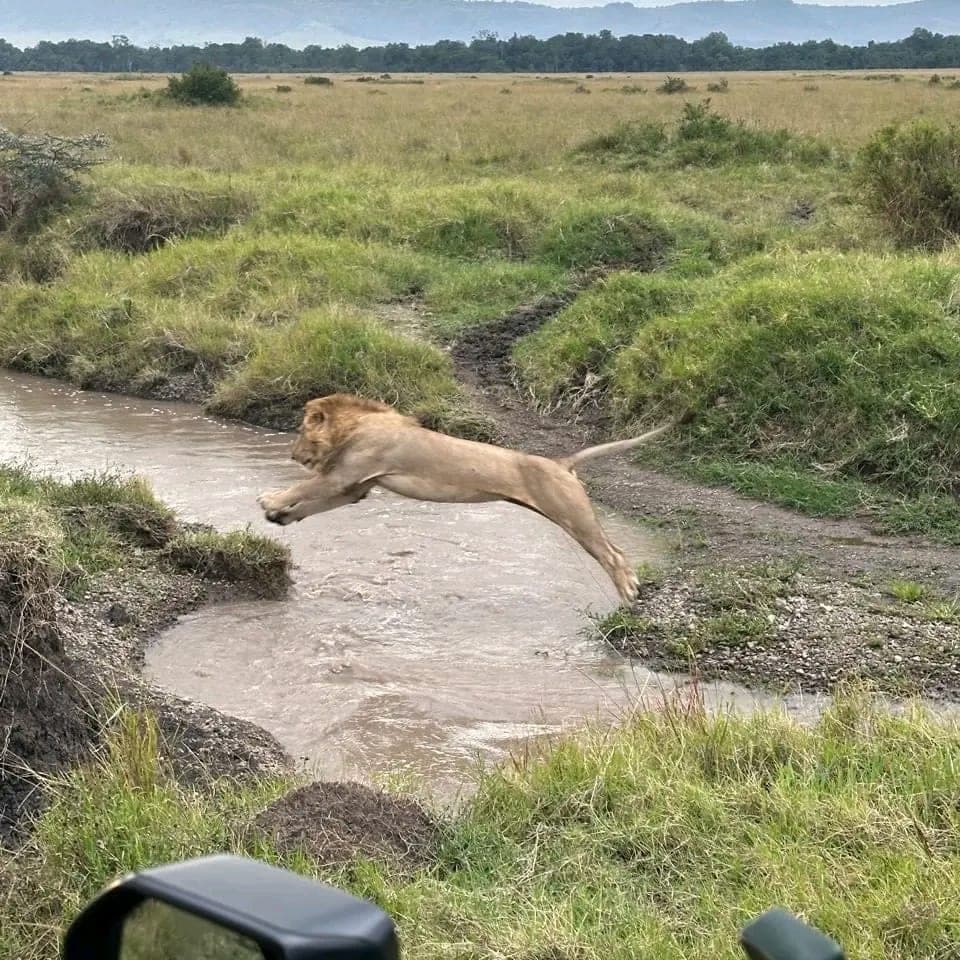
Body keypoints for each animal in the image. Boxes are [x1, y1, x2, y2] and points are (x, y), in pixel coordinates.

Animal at [257, 393, 673, 603]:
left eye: (300, 432)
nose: (291, 455)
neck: (360, 425)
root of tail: (561, 463)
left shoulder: (344, 476)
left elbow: (303, 489)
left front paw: (270, 501)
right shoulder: (354, 488)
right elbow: (311, 503)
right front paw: (280, 516)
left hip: (571, 513)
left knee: (613, 554)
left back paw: (628, 592)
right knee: (615, 549)